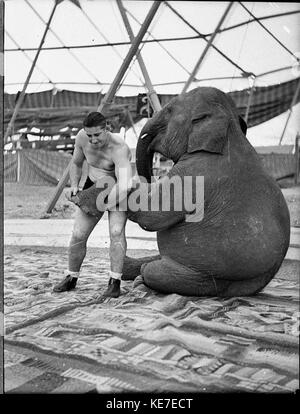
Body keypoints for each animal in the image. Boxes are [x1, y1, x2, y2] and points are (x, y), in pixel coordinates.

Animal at [72, 85, 290, 296]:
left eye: (168, 111)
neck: (230, 129)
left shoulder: (196, 172)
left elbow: (151, 216)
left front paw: (83, 199)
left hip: (213, 277)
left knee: (155, 271)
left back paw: (141, 283)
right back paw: (129, 270)